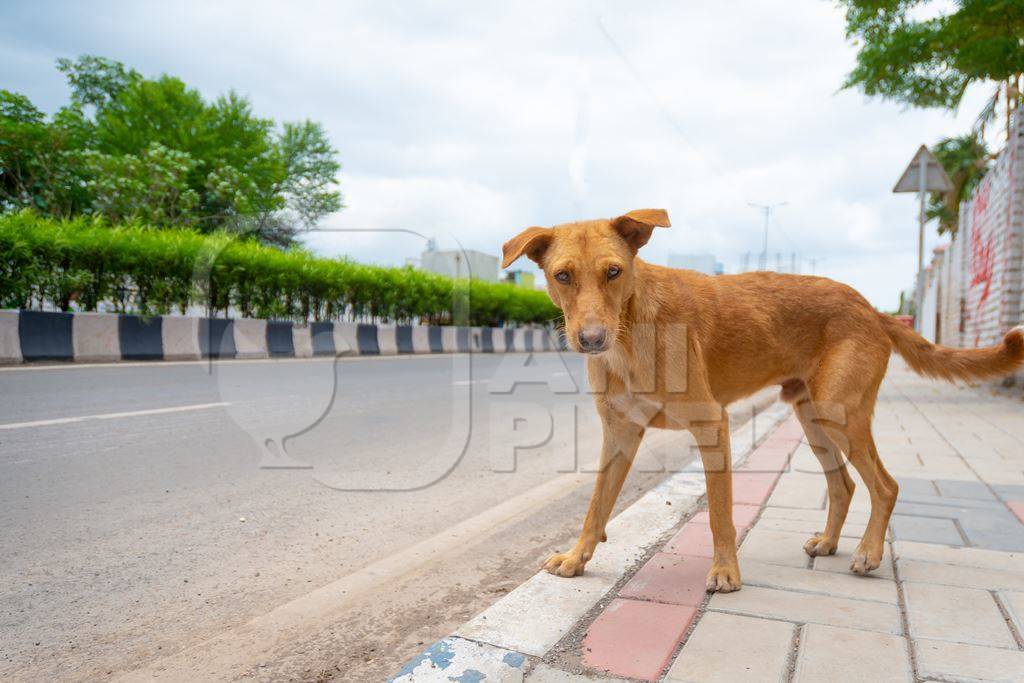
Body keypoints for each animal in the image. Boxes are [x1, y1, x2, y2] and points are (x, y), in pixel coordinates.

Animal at [499, 209, 1024, 593]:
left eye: (614, 271)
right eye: (562, 276)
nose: (591, 340)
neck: (631, 334)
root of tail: (871, 307)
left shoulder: (712, 427)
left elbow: (720, 515)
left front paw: (726, 572)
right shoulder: (620, 435)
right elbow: (596, 507)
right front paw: (577, 558)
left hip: (840, 412)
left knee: (886, 486)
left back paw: (868, 554)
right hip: (812, 419)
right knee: (844, 486)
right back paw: (829, 543)